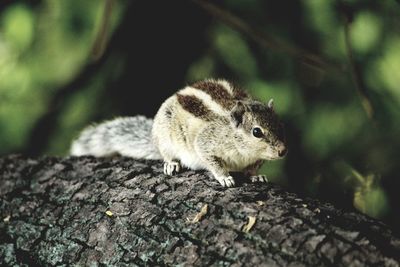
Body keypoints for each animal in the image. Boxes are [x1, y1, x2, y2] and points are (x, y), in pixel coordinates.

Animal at [69, 79, 288, 187]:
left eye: (280, 125)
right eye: (257, 132)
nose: (283, 151)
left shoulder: (255, 159)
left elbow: (253, 168)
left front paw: (256, 177)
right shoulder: (206, 143)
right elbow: (213, 162)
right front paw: (224, 177)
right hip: (165, 138)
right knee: (166, 154)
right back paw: (172, 164)